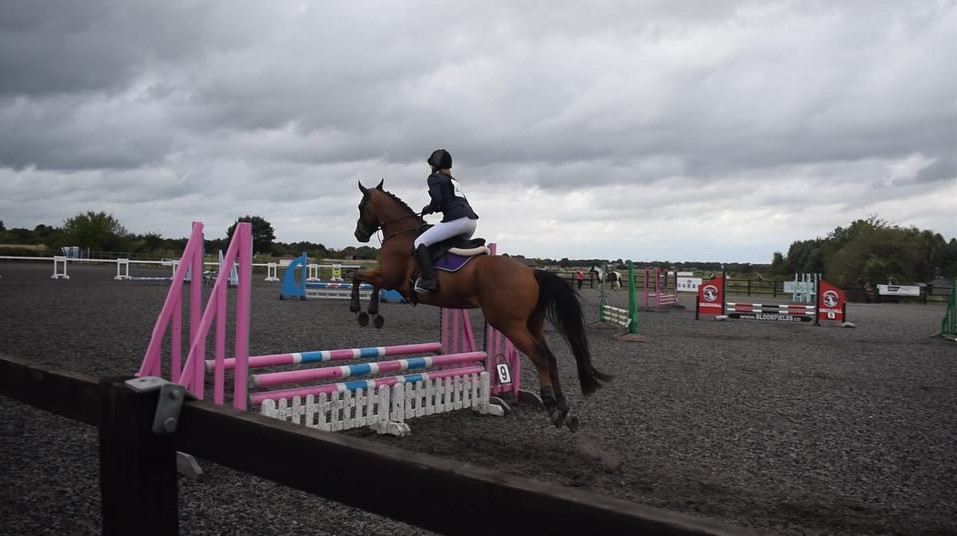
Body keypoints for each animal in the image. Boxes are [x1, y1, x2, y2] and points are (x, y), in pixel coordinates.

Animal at [352, 180, 612, 432]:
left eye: (361, 206)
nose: (359, 234)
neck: (402, 234)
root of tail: (531, 272)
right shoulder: (386, 278)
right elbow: (369, 282)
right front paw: (373, 313)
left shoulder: (390, 278)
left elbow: (360, 277)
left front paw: (361, 311)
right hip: (532, 324)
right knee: (550, 357)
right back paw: (565, 411)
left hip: (508, 324)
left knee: (539, 355)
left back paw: (552, 407)